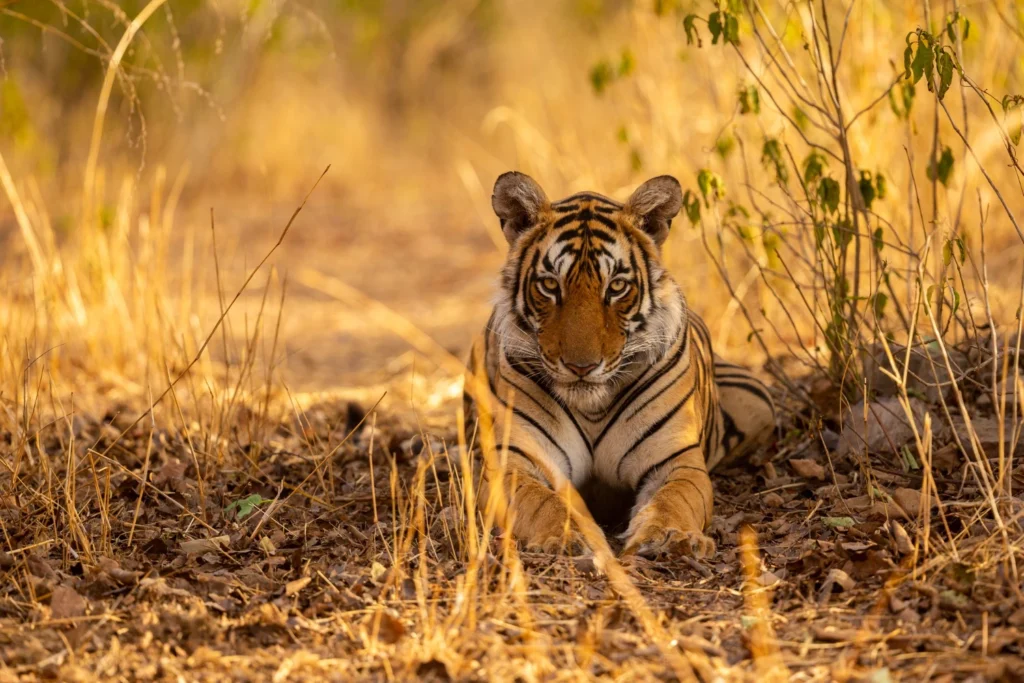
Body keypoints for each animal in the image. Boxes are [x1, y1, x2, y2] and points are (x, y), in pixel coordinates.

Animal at [465, 171, 775, 559]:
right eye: (550, 285)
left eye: (616, 287)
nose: (581, 367)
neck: (592, 407)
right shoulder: (514, 461)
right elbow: (542, 503)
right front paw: (571, 536)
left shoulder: (675, 461)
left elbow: (674, 500)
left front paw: (670, 536)